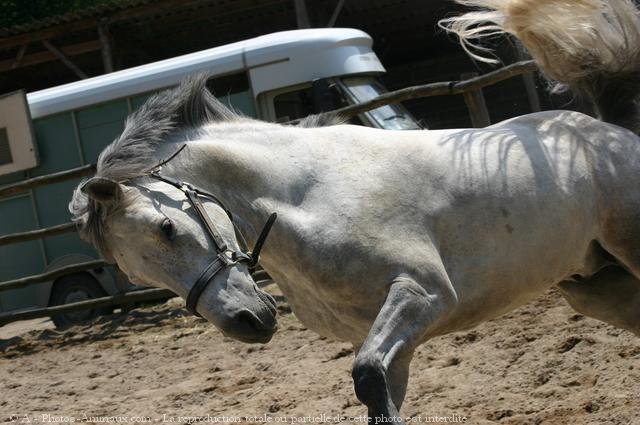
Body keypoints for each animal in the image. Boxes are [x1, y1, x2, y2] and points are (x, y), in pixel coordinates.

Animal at [72, 0, 640, 418]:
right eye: (134, 273)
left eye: (167, 227)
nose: (248, 321)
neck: (304, 192)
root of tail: (610, 132)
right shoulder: (399, 339)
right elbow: (378, 393)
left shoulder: (422, 293)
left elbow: (367, 379)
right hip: (595, 286)